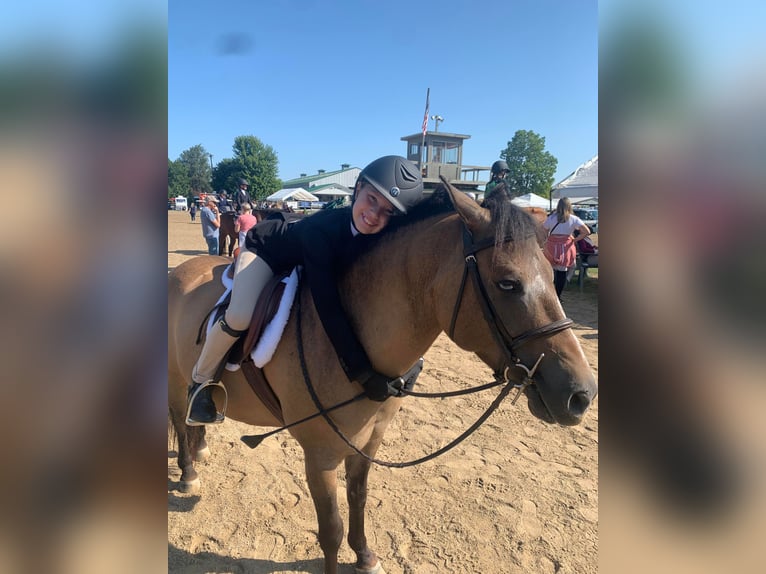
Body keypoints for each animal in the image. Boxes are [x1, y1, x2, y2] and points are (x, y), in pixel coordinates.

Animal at [168, 182, 600, 574]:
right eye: (507, 283)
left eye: (553, 274)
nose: (582, 394)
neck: (355, 349)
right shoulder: (320, 457)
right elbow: (330, 530)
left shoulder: (368, 442)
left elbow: (358, 498)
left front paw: (365, 557)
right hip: (174, 379)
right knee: (179, 416)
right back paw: (188, 472)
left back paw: (202, 436)